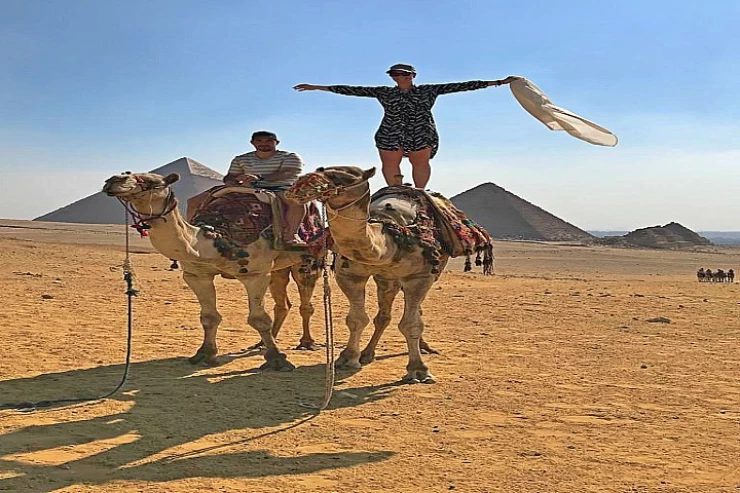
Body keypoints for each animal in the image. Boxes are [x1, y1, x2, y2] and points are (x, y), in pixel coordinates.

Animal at [102, 171, 322, 368]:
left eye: (151, 181)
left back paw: (306, 343)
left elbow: (259, 319)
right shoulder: (197, 275)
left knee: (305, 301)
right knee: (282, 302)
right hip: (278, 268)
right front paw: (204, 354)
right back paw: (261, 344)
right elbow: (209, 318)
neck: (215, 240)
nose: (112, 181)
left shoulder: (256, 274)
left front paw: (277, 359)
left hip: (309, 260)